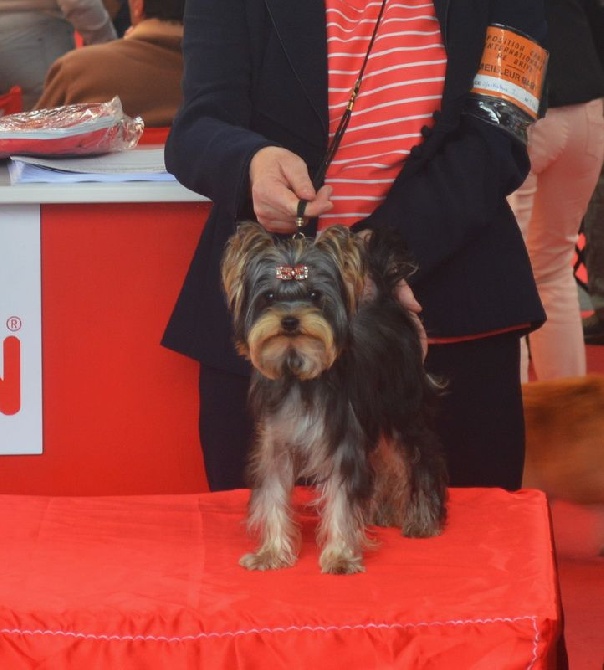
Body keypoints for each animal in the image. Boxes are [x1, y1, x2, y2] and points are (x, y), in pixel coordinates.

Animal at [222, 222, 448, 576]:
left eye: (315, 295)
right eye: (269, 296)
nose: (290, 321)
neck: (298, 372)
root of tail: (388, 305)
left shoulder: (341, 440)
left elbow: (342, 499)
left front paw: (340, 556)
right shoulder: (274, 444)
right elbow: (273, 494)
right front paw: (271, 553)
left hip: (404, 408)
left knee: (418, 457)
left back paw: (422, 520)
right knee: (384, 462)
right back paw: (382, 513)